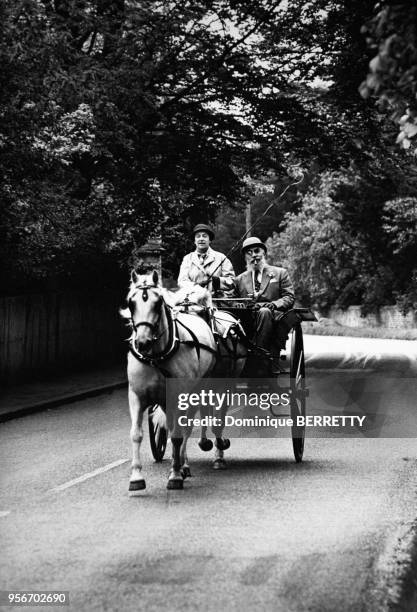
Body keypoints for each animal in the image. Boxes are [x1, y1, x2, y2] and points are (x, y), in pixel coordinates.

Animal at [120, 270, 245, 490]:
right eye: (131, 302)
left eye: (157, 303)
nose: (142, 342)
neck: (157, 356)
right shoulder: (136, 396)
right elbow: (136, 434)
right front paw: (136, 477)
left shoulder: (178, 396)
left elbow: (178, 435)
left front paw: (175, 475)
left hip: (212, 386)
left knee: (204, 422)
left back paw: (212, 457)